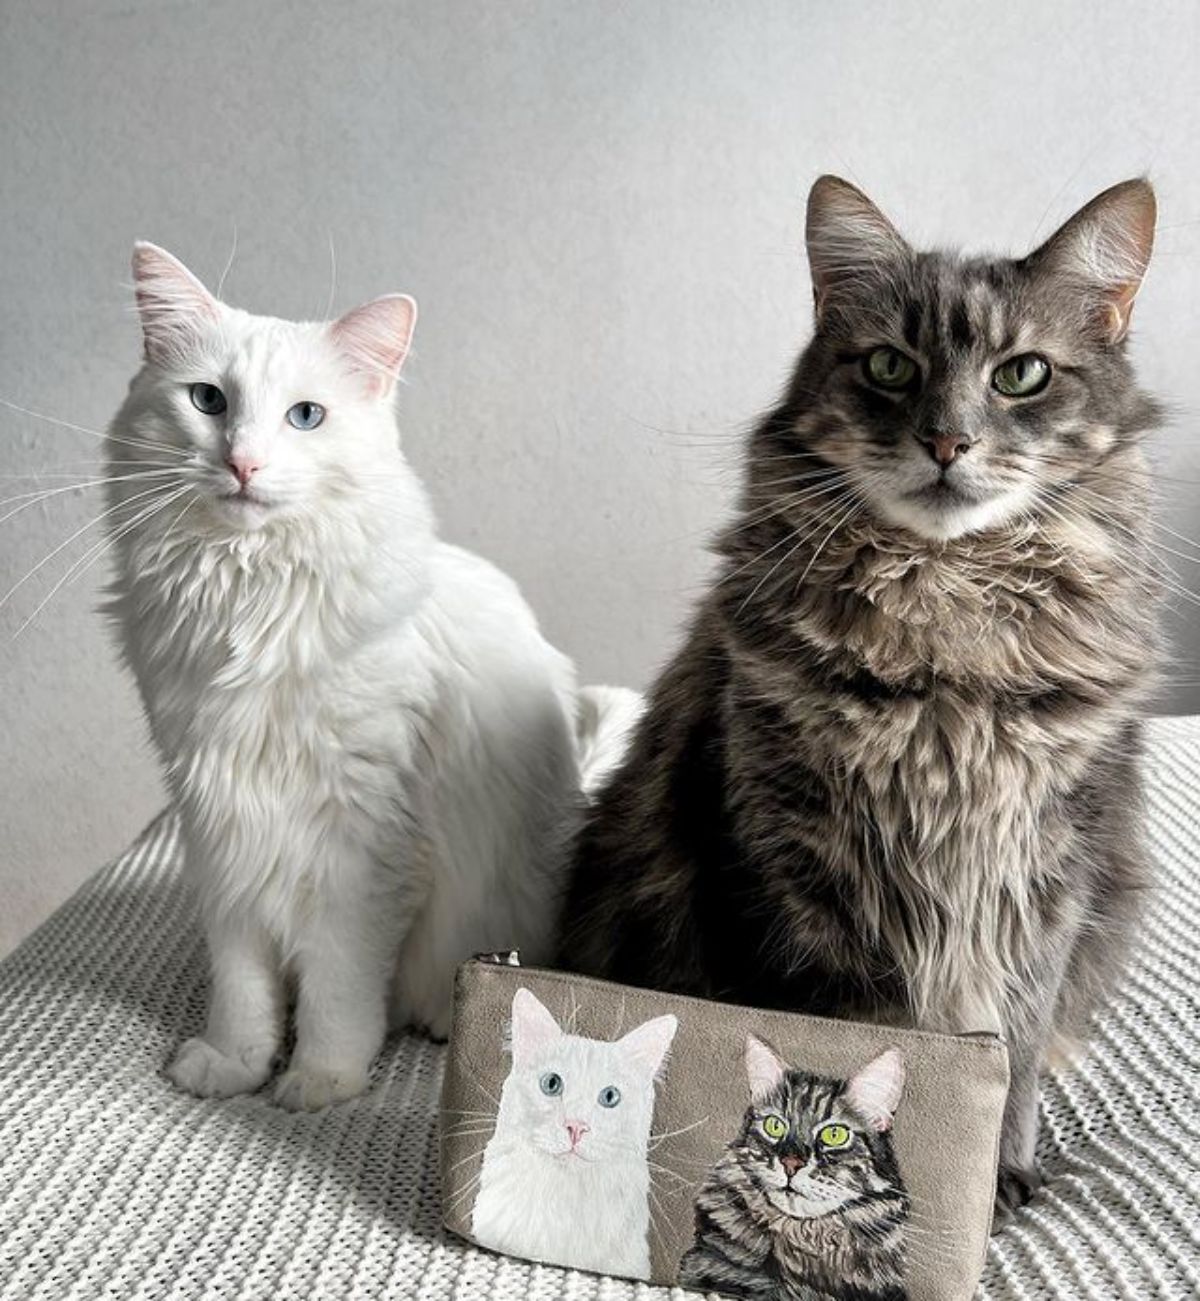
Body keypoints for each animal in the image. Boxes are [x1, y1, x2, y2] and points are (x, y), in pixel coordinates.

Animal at [107, 241, 640, 1108]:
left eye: (305, 416)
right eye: (208, 400)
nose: (243, 462)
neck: (251, 597)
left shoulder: (363, 847)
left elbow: (339, 985)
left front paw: (319, 1080)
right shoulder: (217, 830)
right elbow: (243, 986)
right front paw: (235, 1063)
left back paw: (438, 1021)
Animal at [562, 175, 1160, 1217]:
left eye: (1022, 375)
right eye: (888, 365)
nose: (947, 439)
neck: (946, 636)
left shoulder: (1052, 876)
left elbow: (1014, 1054)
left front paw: (996, 1179)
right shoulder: (788, 873)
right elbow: (845, 1036)